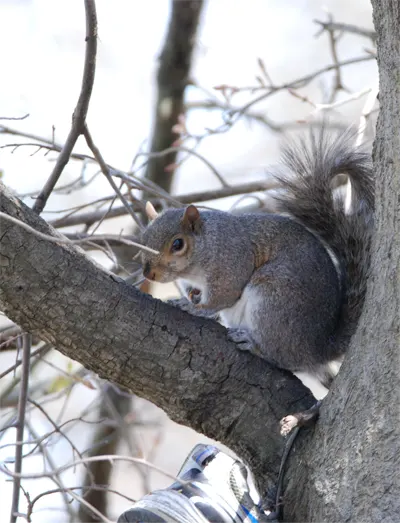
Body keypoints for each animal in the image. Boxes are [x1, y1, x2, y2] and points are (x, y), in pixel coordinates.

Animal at [141, 128, 376, 388]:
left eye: (178, 244)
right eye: (143, 238)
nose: (148, 273)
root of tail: (318, 348)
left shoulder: (231, 265)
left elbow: (221, 298)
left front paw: (193, 307)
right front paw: (186, 296)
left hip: (274, 300)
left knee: (284, 357)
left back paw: (254, 345)